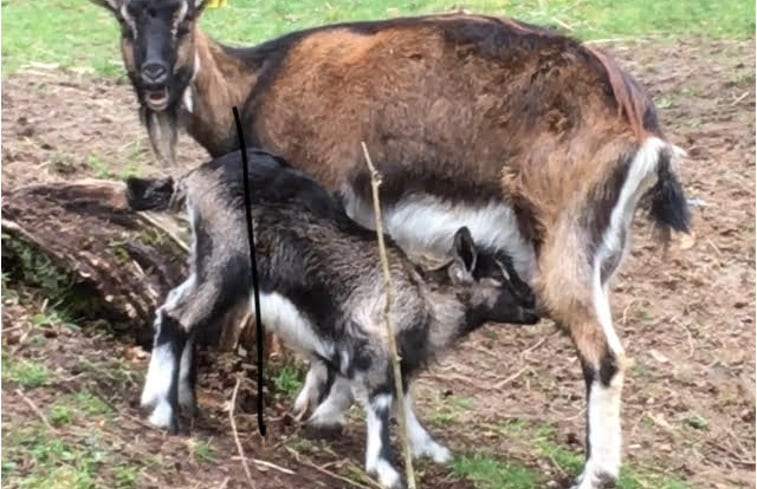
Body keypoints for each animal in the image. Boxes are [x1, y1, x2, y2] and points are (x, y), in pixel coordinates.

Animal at [91, 1, 688, 486]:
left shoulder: (325, 195)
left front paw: (319, 408)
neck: (258, 81)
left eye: (185, 17)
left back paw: (594, 475)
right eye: (122, 17)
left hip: (563, 245)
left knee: (604, 355)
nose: (155, 78)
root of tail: (645, 132)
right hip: (602, 255)